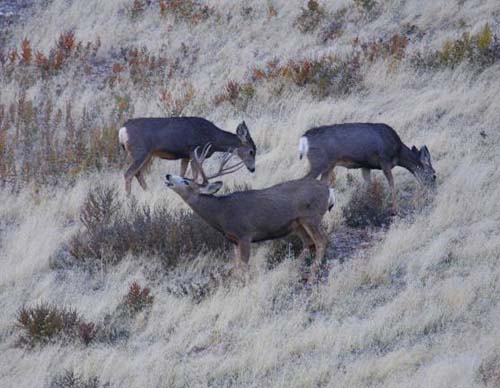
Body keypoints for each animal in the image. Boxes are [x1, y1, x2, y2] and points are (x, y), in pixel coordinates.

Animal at [118, 115, 256, 194]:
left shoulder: (185, 156)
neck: (212, 138)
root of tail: (122, 130)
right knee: (128, 174)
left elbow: (182, 174)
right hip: (140, 151)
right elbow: (195, 176)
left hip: (148, 155)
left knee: (138, 174)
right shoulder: (195, 151)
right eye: (251, 151)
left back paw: (149, 193)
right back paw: (130, 199)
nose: (252, 169)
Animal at [165, 143, 336, 282]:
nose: (167, 175)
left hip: (311, 216)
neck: (221, 213)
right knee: (309, 243)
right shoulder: (233, 240)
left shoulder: (245, 234)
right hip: (297, 224)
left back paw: (312, 276)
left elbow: (244, 267)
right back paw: (294, 269)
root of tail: (329, 190)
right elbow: (236, 267)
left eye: (186, 181)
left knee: (321, 241)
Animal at [298, 122, 436, 211]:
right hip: (319, 162)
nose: (433, 191)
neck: (398, 152)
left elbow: (367, 185)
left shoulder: (366, 165)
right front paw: (395, 208)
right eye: (434, 175)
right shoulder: (384, 160)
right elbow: (391, 184)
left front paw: (366, 204)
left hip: (328, 166)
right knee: (305, 180)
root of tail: (304, 138)